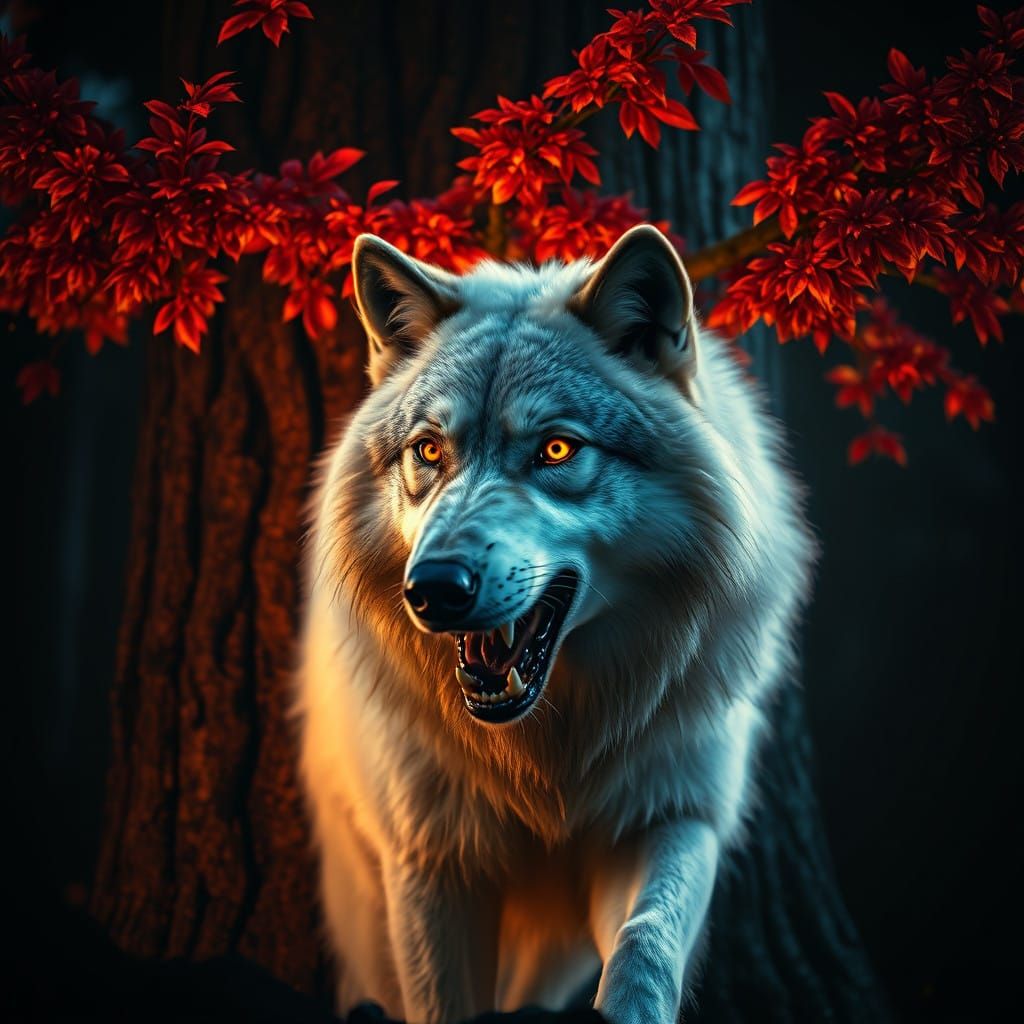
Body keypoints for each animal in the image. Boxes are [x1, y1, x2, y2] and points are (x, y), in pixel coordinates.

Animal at [297, 224, 813, 1024]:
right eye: (430, 450)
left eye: (557, 448)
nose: (434, 589)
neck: (547, 764)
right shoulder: (432, 862)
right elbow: (442, 1002)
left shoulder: (672, 817)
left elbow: (647, 941)